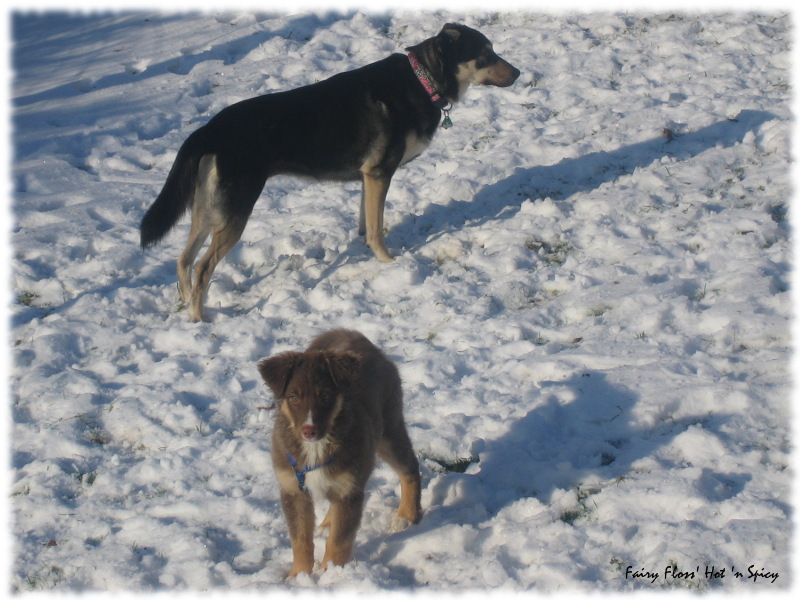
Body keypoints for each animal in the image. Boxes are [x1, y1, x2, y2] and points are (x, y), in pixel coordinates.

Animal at [141, 22, 520, 322]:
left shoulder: (368, 177)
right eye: (486, 54)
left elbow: (366, 222)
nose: (518, 73)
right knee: (203, 267)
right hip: (234, 210)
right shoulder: (380, 172)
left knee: (183, 260)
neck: (423, 79)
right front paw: (389, 262)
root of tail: (209, 130)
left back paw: (185, 302)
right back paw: (199, 319)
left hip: (208, 208)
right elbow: (378, 230)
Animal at [258, 328, 422, 576]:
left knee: (410, 467)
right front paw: (299, 575)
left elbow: (339, 541)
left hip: (390, 430)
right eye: (293, 397)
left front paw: (331, 574)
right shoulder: (293, 489)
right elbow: (300, 539)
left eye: (325, 396)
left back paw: (405, 515)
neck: (316, 448)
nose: (309, 431)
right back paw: (327, 524)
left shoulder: (349, 491)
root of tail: (358, 337)